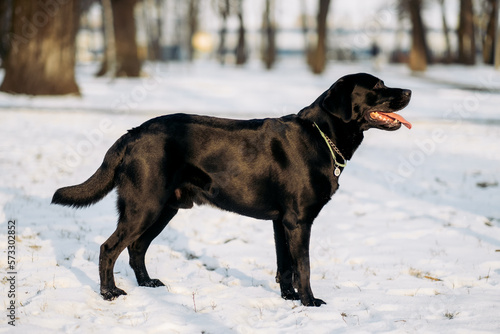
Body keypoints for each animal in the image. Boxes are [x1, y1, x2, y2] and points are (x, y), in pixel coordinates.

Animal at [51, 72, 410, 306]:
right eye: (377, 87)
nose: (408, 91)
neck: (322, 135)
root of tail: (132, 133)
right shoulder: (299, 220)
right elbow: (304, 267)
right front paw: (309, 302)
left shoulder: (281, 222)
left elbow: (286, 266)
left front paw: (289, 298)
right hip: (145, 206)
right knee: (109, 248)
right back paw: (109, 293)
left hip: (164, 209)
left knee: (136, 248)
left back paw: (148, 284)